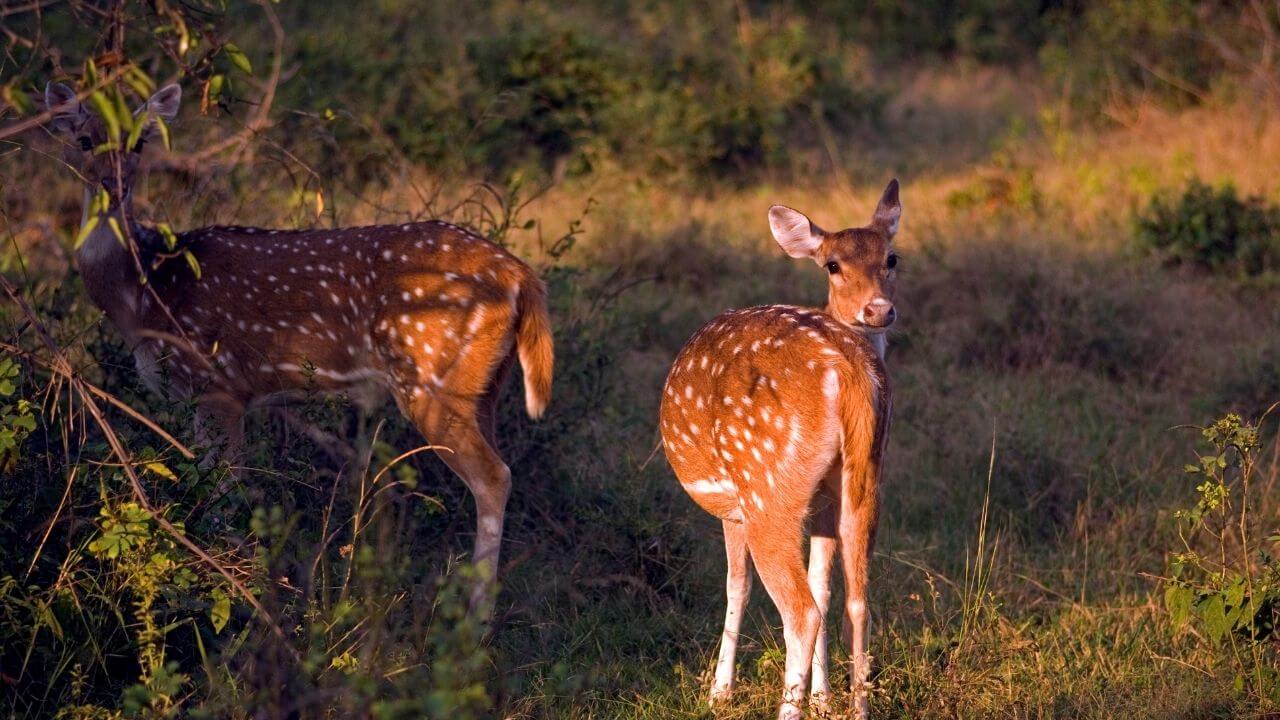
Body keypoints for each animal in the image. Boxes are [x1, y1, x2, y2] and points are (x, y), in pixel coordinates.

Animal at [43, 82, 555, 609]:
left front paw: (231, 583)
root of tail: (521, 276)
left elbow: (222, 490)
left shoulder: (219, 383)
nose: (114, 184)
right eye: (84, 140)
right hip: (482, 386)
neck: (145, 293)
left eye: (140, 141)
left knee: (493, 477)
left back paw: (476, 614)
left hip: (433, 378)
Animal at [660, 180, 901, 717]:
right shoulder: (825, 502)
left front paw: (720, 692)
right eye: (832, 264)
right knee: (858, 599)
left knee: (800, 609)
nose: (878, 310)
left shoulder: (734, 507)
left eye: (891, 258)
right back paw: (856, 707)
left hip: (766, 484)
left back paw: (787, 706)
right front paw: (824, 699)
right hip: (864, 478)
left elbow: (737, 586)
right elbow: (826, 586)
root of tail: (848, 370)